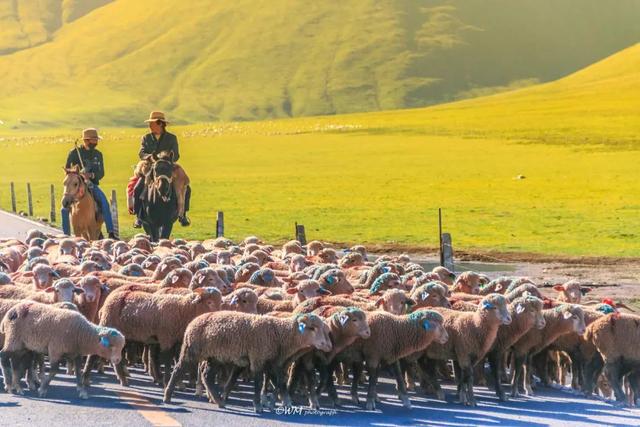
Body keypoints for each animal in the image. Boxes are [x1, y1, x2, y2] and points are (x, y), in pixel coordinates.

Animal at [162, 310, 332, 414]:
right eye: (312, 328)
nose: (328, 346)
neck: (280, 335)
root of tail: (193, 321)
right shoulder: (257, 358)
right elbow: (258, 382)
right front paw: (258, 405)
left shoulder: (272, 362)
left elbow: (280, 383)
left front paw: (285, 403)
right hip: (191, 350)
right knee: (178, 370)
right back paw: (168, 396)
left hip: (215, 356)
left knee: (207, 376)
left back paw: (219, 401)